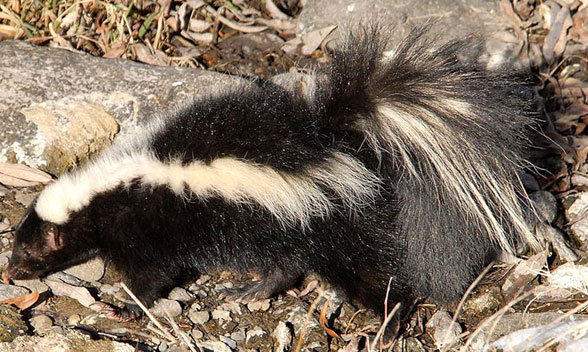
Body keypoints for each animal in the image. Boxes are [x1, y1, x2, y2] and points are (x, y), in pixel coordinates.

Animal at [4, 26, 536, 324]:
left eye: (28, 251)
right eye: (16, 244)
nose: (10, 273)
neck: (105, 191)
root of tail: (324, 144)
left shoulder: (147, 230)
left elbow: (153, 275)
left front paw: (128, 305)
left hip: (286, 220)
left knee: (289, 265)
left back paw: (253, 289)